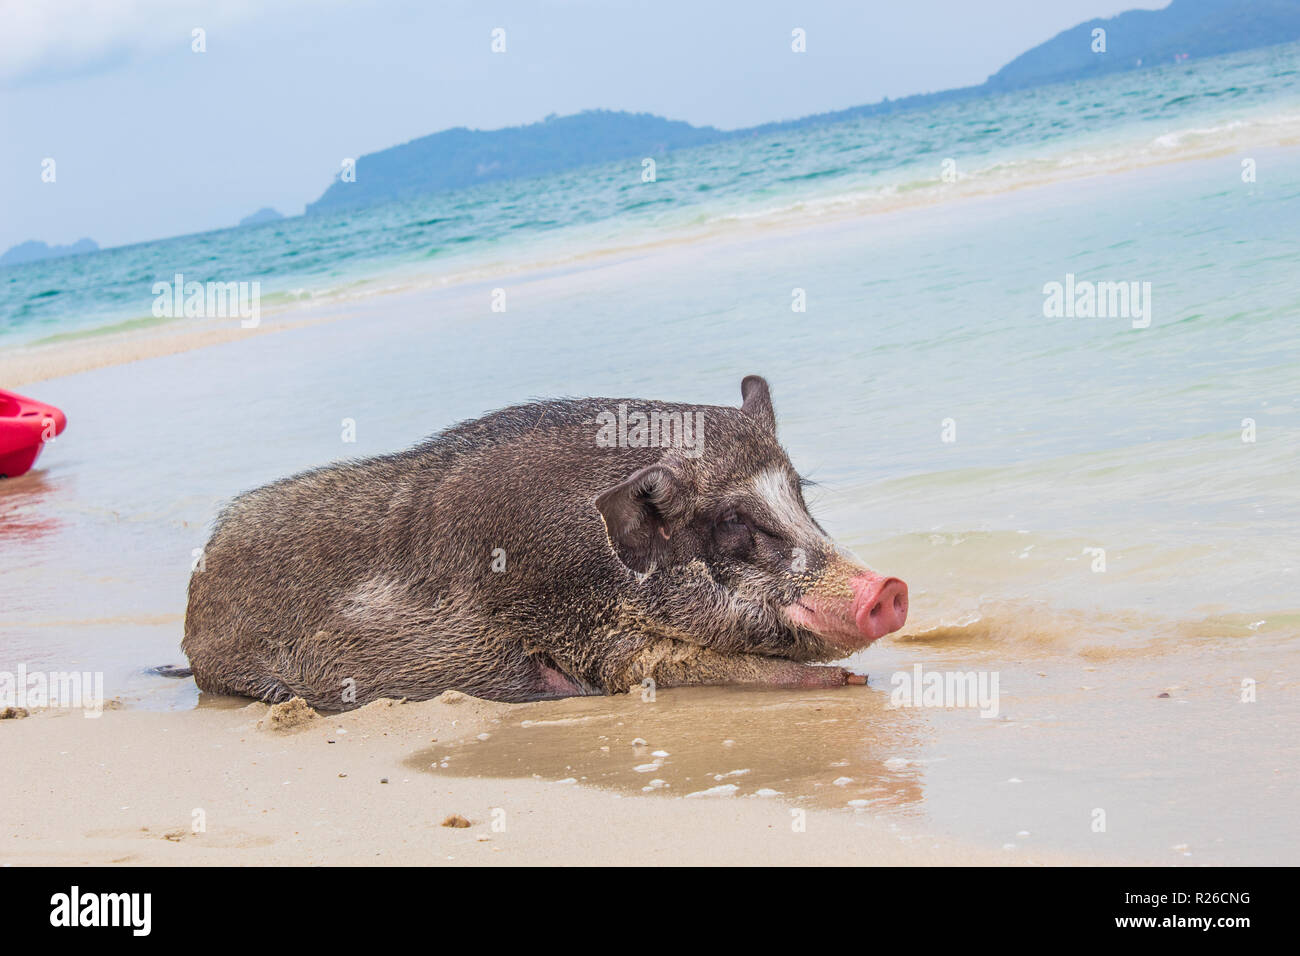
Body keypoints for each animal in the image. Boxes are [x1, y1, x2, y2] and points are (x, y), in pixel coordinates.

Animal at [183, 374, 909, 712]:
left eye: (799, 495)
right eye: (731, 521)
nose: (891, 588)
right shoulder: (594, 640)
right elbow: (657, 667)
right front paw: (850, 679)